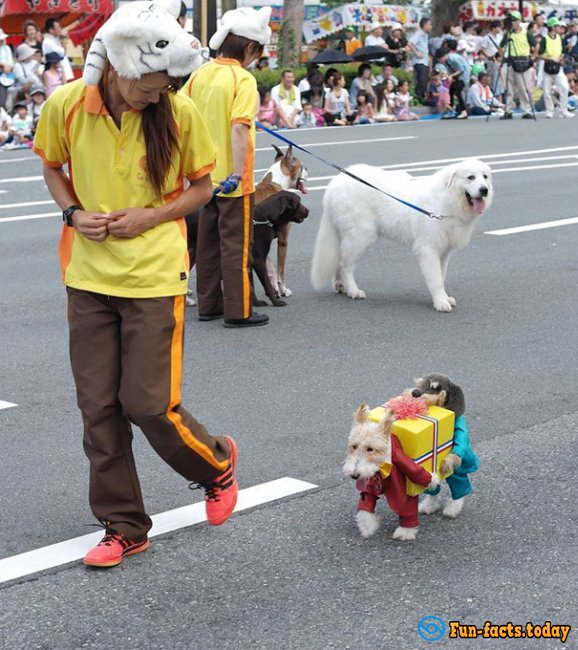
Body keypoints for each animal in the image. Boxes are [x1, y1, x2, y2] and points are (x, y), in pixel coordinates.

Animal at [310, 156, 490, 308]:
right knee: (345, 265)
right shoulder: (429, 250)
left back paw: (341, 286)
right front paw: (440, 303)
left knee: (339, 261)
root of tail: (334, 184)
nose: (484, 190)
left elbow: (441, 276)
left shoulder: (443, 252)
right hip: (360, 236)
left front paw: (445, 298)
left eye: (485, 177)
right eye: (471, 177)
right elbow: (436, 280)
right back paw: (353, 291)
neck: (447, 200)